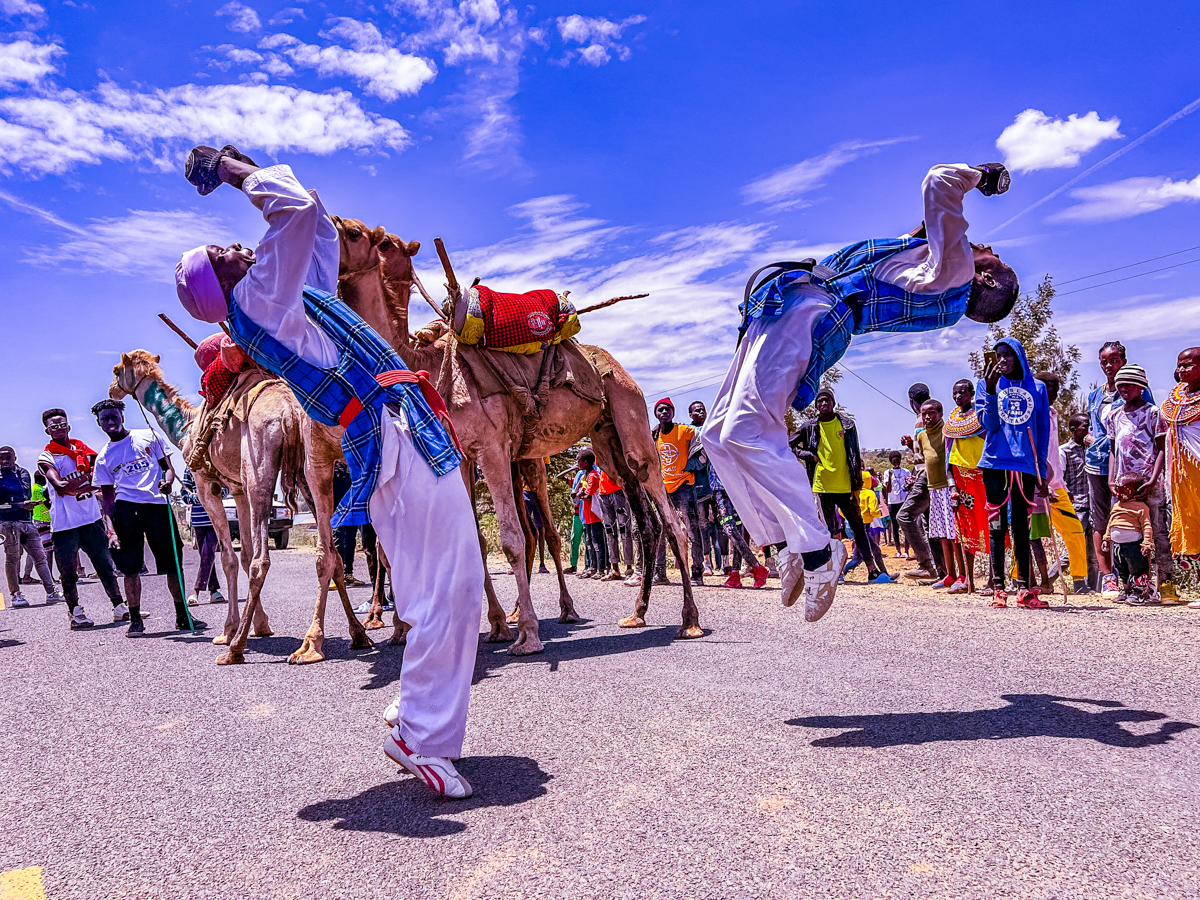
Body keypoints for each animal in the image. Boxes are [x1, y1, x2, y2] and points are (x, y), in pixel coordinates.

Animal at [333, 220, 700, 657]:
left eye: (366, 237)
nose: (332, 224)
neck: (429, 367)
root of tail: (617, 367)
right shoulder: (462, 455)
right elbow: (474, 538)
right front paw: (494, 627)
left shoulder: (491, 448)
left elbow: (511, 539)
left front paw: (525, 635)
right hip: (606, 438)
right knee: (644, 518)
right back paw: (637, 613)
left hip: (630, 414)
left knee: (669, 515)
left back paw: (688, 621)